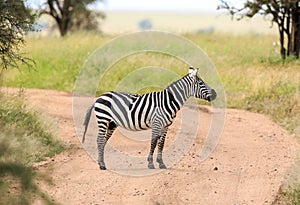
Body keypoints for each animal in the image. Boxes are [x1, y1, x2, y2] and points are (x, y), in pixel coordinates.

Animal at [82, 67, 216, 170]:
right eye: (201, 83)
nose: (215, 94)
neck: (168, 101)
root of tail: (99, 98)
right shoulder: (157, 123)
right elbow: (153, 142)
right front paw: (151, 163)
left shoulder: (166, 126)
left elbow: (161, 143)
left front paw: (161, 163)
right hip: (103, 119)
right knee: (100, 140)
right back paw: (102, 166)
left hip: (111, 123)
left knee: (103, 141)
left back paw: (101, 162)